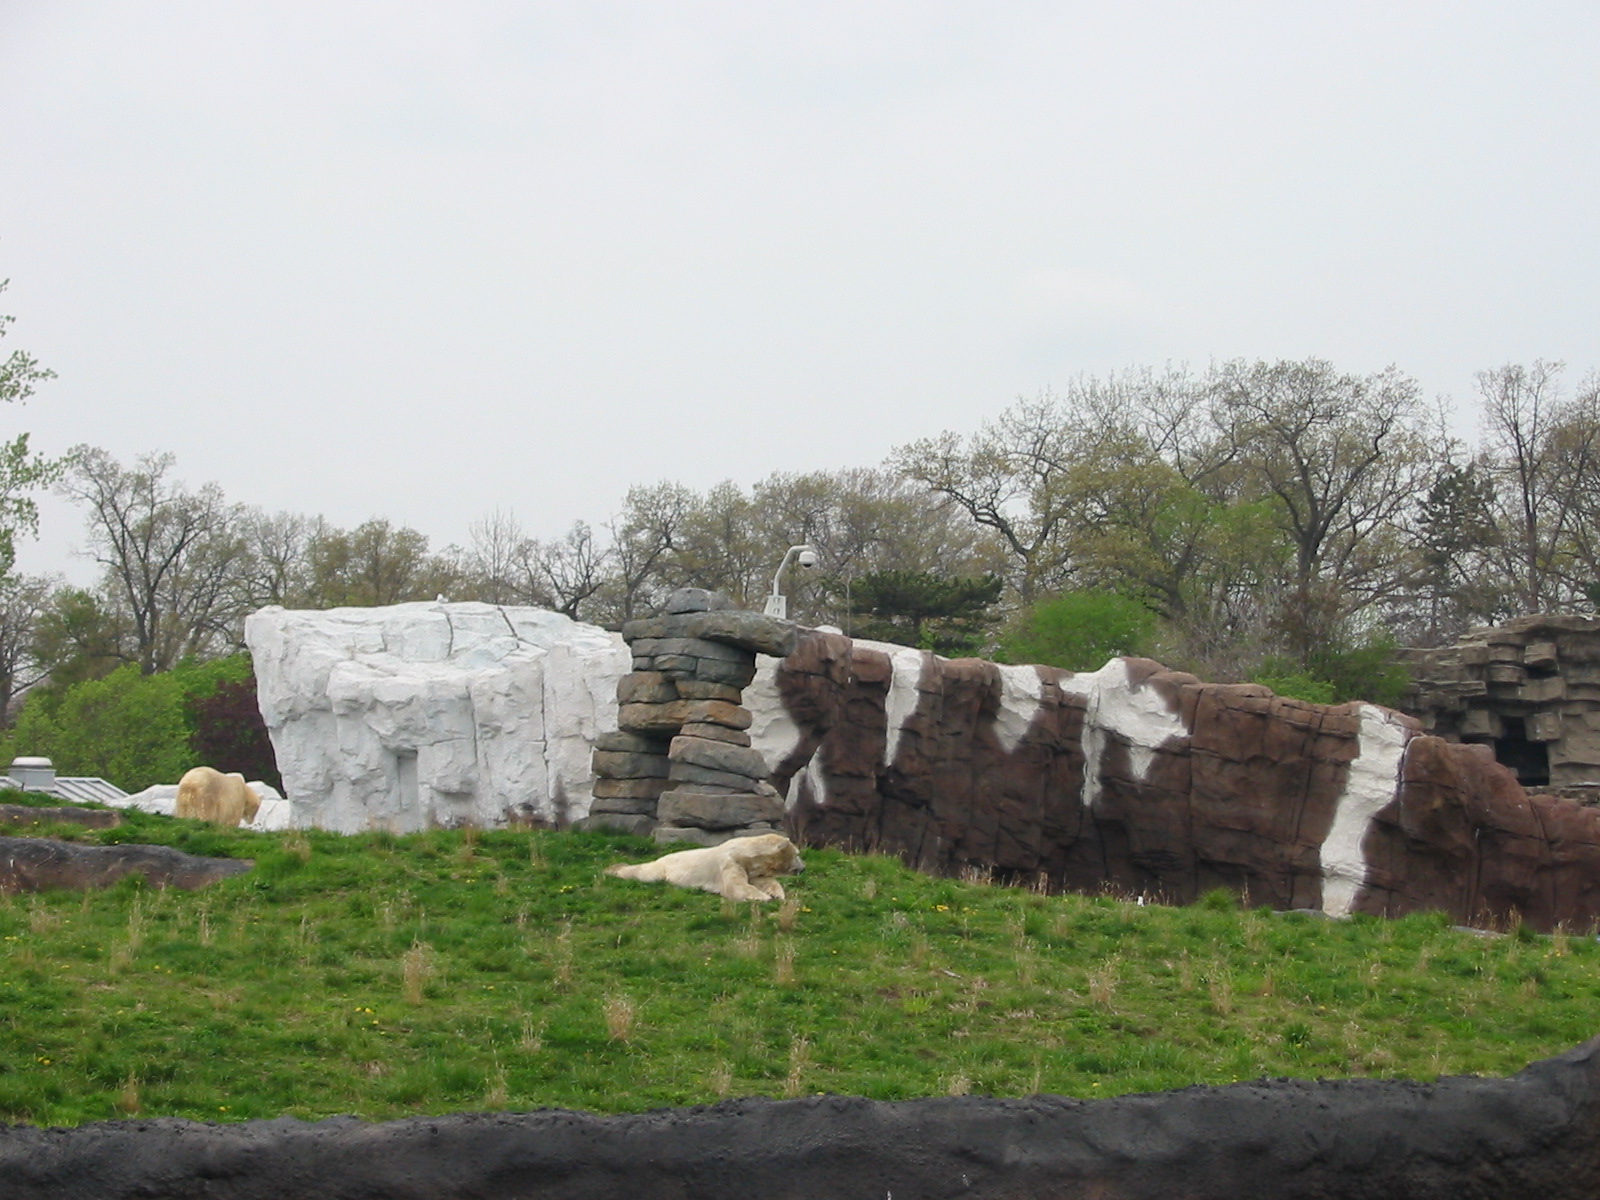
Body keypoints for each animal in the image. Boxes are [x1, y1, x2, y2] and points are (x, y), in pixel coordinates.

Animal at [604, 833, 804, 902]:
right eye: (797, 854)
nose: (803, 868)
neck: (745, 852)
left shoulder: (750, 867)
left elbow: (764, 880)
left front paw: (775, 894)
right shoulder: (729, 862)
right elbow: (736, 886)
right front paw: (762, 897)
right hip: (663, 868)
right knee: (646, 873)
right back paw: (613, 869)